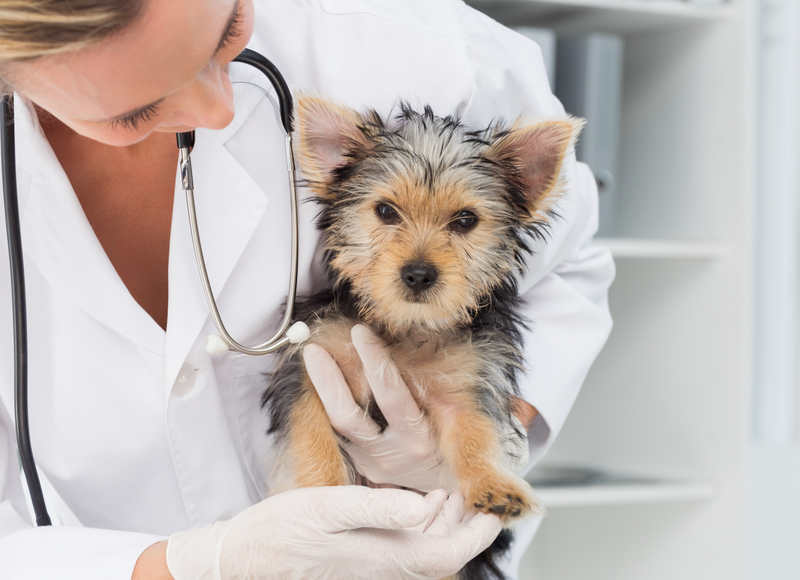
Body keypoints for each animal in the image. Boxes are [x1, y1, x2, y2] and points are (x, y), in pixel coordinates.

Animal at [262, 97, 580, 576]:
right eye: (385, 211)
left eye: (466, 220)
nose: (418, 273)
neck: (405, 328)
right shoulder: (308, 365)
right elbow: (311, 435)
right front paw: (320, 506)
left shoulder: (468, 380)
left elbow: (475, 431)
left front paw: (493, 483)